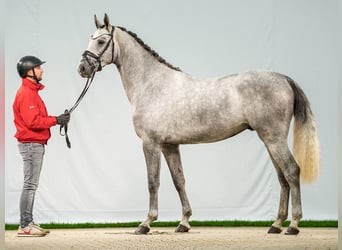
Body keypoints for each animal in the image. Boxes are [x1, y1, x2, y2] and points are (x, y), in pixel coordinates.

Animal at [76, 14, 320, 235]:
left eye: (101, 41)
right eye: (90, 38)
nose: (82, 68)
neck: (152, 84)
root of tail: (284, 78)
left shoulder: (151, 144)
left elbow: (153, 182)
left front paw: (145, 223)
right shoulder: (170, 145)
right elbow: (179, 180)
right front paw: (184, 222)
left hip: (273, 138)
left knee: (291, 171)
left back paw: (293, 225)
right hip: (270, 140)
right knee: (282, 177)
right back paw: (276, 225)